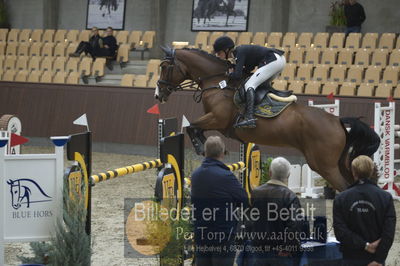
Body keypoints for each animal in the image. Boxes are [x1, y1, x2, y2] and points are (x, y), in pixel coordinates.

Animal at [155, 46, 380, 190]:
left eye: (165, 67)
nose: (158, 95)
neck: (218, 83)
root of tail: (337, 121)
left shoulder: (218, 119)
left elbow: (191, 126)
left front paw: (200, 146)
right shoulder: (217, 122)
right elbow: (195, 128)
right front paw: (208, 147)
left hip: (324, 165)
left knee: (345, 187)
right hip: (339, 162)